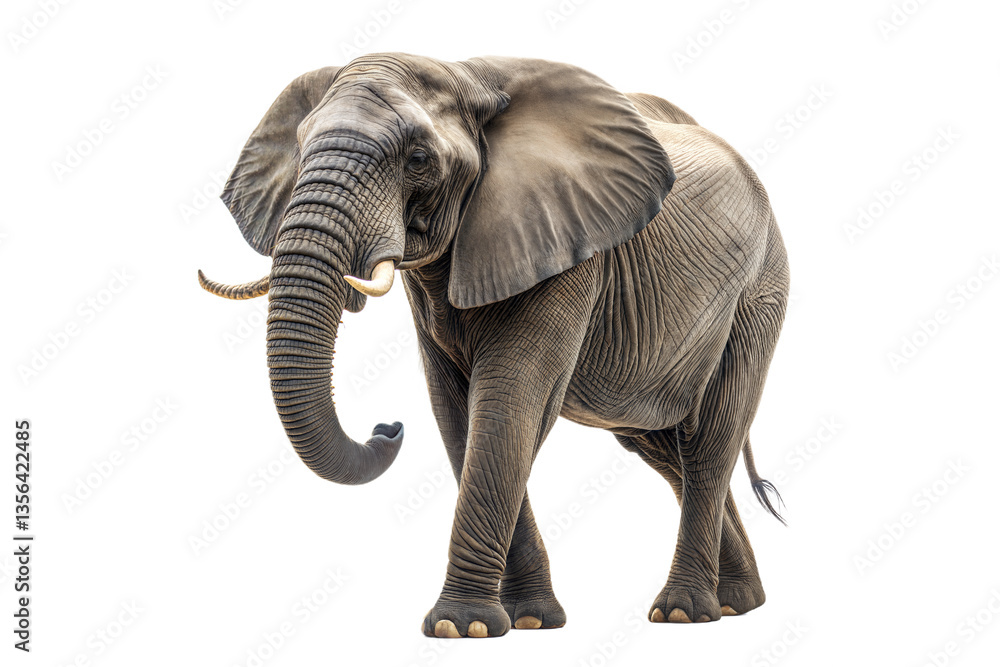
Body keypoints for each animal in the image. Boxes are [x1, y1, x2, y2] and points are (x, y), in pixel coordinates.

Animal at [199, 53, 789, 638]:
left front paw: (460, 626)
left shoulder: (567, 247)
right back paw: (739, 602)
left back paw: (684, 611)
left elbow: (508, 406)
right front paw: (528, 619)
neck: (465, 75)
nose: (387, 427)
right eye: (301, 152)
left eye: (418, 159)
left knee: (710, 441)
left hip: (758, 294)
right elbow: (457, 415)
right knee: (667, 449)